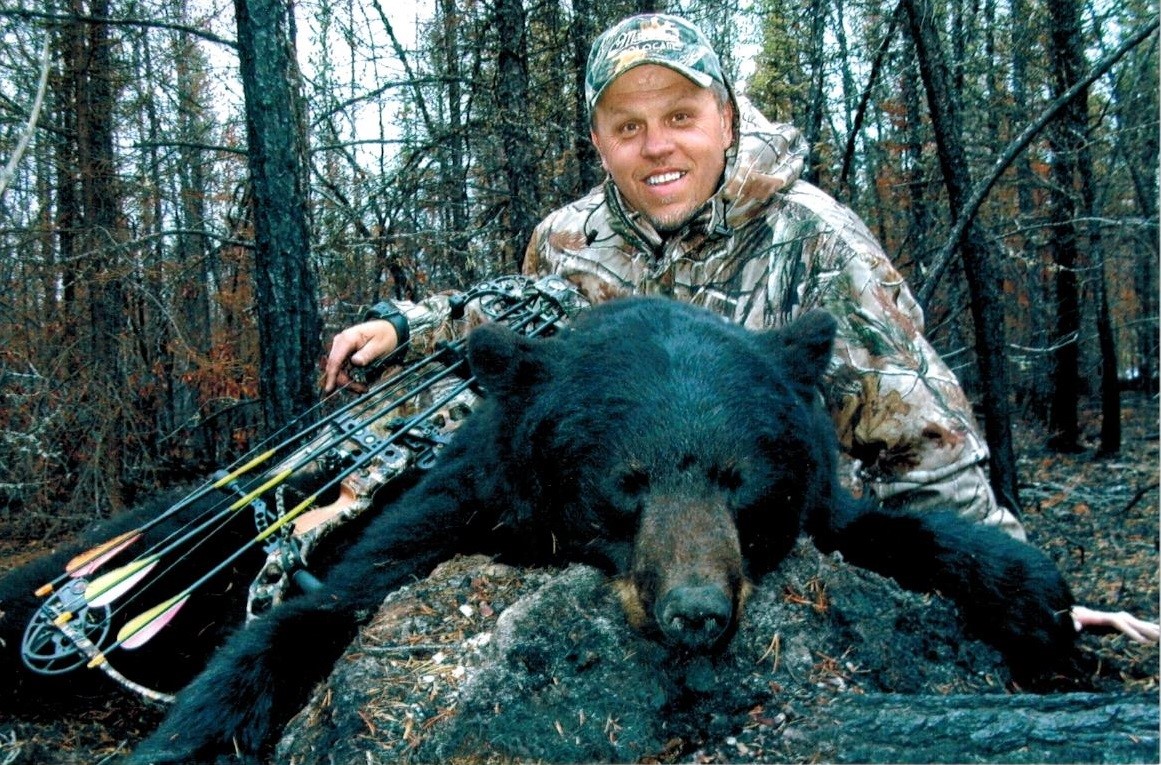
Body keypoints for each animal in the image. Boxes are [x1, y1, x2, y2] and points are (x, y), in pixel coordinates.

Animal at [117, 299, 1068, 765]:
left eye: (738, 481)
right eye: (626, 483)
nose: (695, 612)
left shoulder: (820, 497)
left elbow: (893, 527)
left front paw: (1038, 602)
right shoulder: (462, 506)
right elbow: (319, 611)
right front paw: (185, 738)